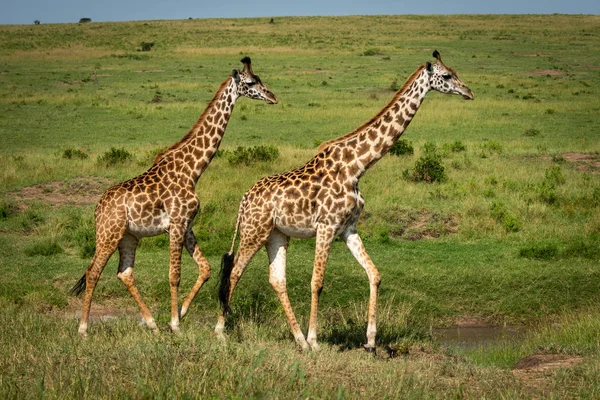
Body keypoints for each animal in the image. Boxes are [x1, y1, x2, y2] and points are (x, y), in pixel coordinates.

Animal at [71, 57, 278, 336]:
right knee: (93, 271)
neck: (192, 170)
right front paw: (176, 325)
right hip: (108, 234)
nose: (272, 96)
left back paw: (151, 323)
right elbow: (174, 275)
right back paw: (83, 329)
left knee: (125, 273)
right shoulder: (177, 223)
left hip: (129, 237)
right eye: (251, 82)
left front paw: (180, 313)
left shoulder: (186, 225)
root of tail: (97, 208)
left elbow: (205, 268)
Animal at [216, 49, 474, 350]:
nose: (468, 92)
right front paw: (316, 340)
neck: (357, 166)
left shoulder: (347, 228)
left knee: (277, 279)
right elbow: (317, 282)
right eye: (446, 76)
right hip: (253, 231)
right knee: (235, 272)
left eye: (455, 72)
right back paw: (221, 331)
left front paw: (370, 340)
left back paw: (299, 340)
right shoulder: (326, 226)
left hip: (276, 234)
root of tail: (244, 199)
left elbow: (374, 274)